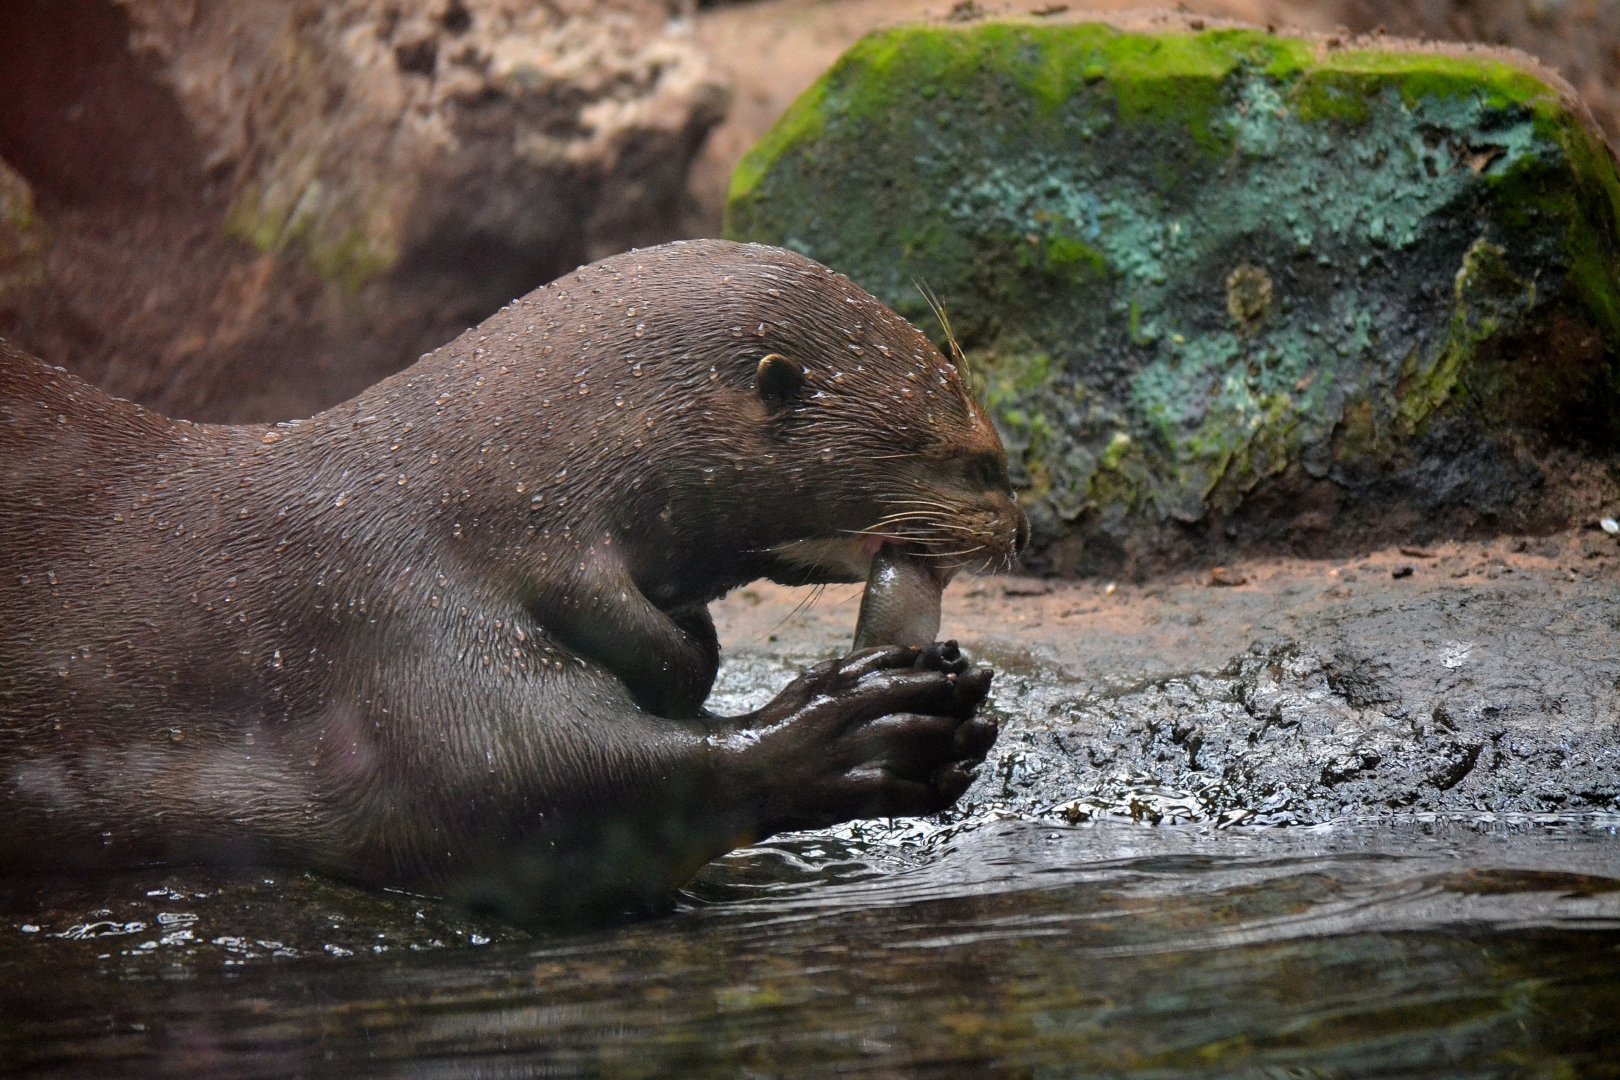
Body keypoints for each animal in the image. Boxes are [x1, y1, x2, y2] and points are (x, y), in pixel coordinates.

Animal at [0, 239, 1025, 922]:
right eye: (967, 460)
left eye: (999, 457)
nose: (1019, 523)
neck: (457, 498)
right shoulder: (396, 610)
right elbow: (530, 780)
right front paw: (863, 726)